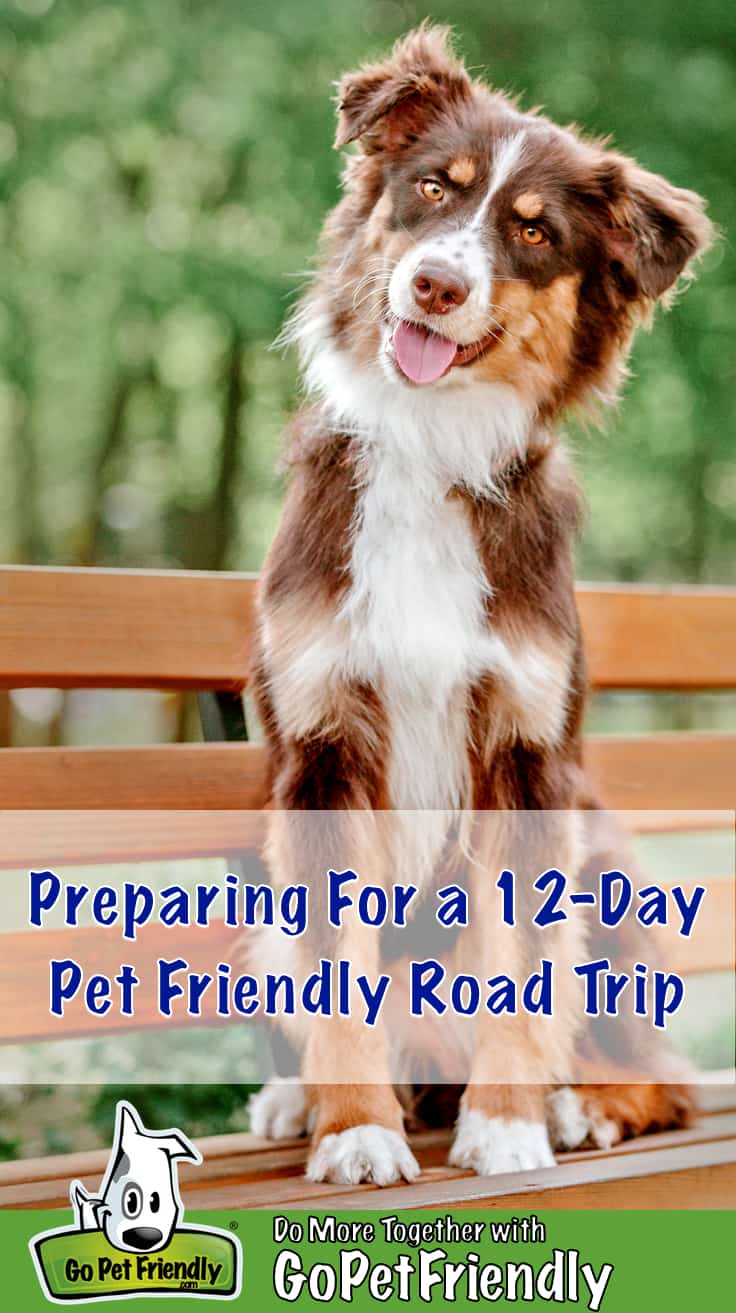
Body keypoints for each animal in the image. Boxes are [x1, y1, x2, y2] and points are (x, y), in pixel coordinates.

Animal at [247, 23, 713, 1192]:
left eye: (533, 231)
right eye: (429, 189)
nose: (435, 284)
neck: (429, 448)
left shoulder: (528, 751)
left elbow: (520, 961)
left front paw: (507, 1126)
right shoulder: (321, 745)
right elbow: (335, 972)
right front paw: (354, 1130)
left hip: (608, 865)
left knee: (668, 1071)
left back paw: (582, 1107)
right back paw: (297, 1099)